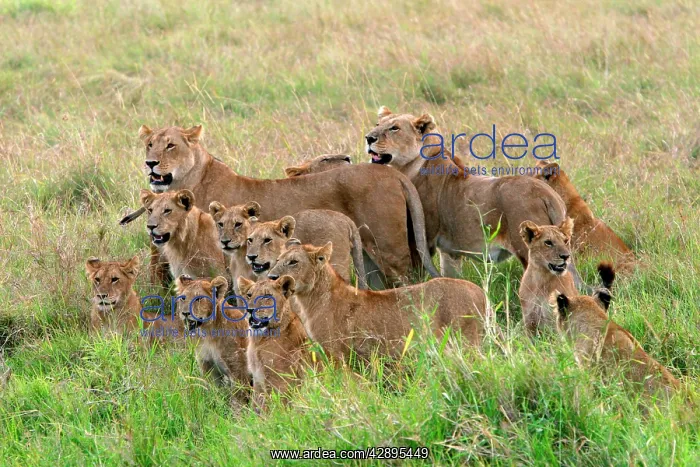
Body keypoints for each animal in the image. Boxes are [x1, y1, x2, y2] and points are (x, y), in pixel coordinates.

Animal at [124, 124, 439, 287]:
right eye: (149, 144)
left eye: (171, 145)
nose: (150, 163)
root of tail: (393, 173)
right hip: (367, 256)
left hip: (390, 251)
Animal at [237, 275, 314, 409]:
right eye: (249, 295)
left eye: (267, 296)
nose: (249, 310)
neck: (259, 340)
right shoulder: (258, 379)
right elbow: (256, 407)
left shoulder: (280, 382)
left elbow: (274, 409)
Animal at [267, 241, 487, 364]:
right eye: (277, 259)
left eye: (293, 262)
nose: (271, 277)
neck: (310, 300)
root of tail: (480, 292)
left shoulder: (337, 352)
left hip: (467, 342)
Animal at [364, 107, 584, 284]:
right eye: (377, 124)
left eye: (394, 128)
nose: (368, 138)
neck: (410, 166)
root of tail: (547, 193)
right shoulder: (450, 252)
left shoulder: (424, 241)